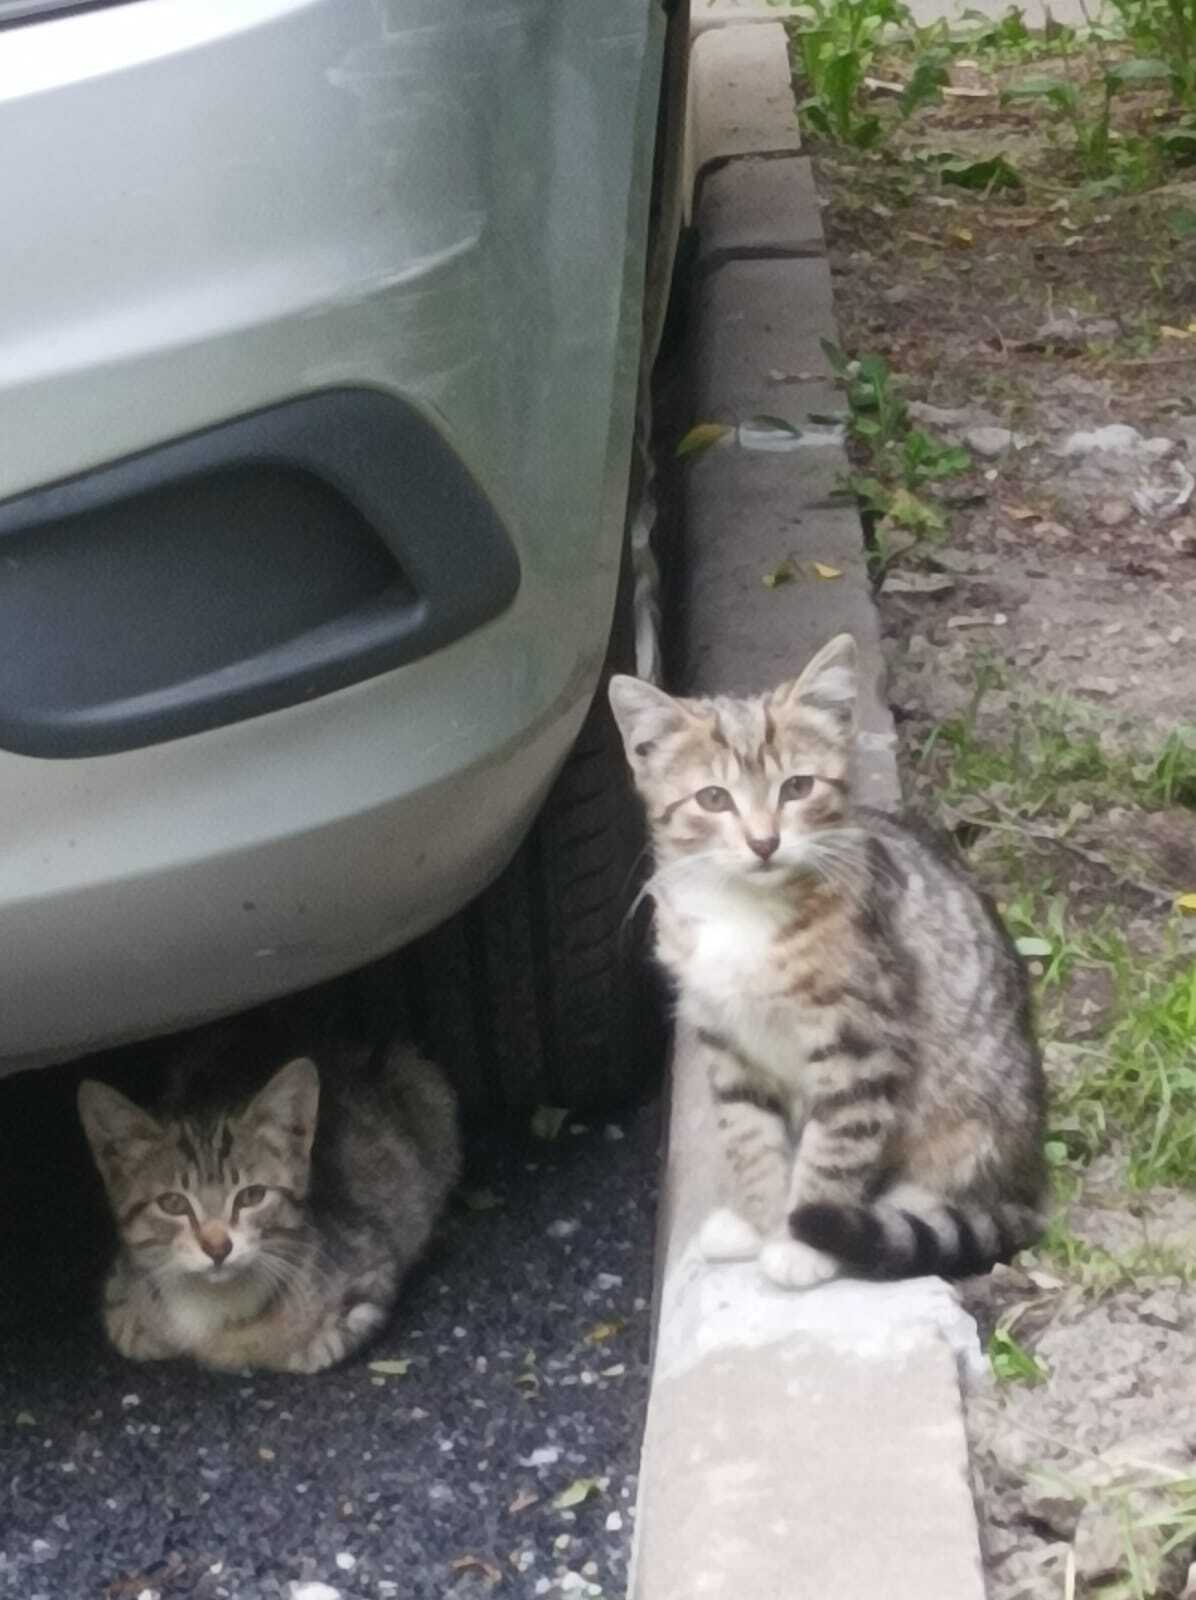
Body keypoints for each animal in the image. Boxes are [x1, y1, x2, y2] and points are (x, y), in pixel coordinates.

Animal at [75, 1036, 457, 1376]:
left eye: (252, 1196)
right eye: (173, 1202)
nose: (217, 1247)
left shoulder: (372, 1272)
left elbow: (312, 1348)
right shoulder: (119, 1287)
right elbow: (125, 1327)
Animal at [610, 633, 1042, 1286]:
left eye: (797, 787)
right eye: (713, 798)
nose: (764, 841)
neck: (744, 911)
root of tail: (1029, 1180)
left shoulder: (861, 1039)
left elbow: (835, 1146)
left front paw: (800, 1242)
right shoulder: (725, 1040)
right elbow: (750, 1136)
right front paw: (759, 1220)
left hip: (972, 1120)